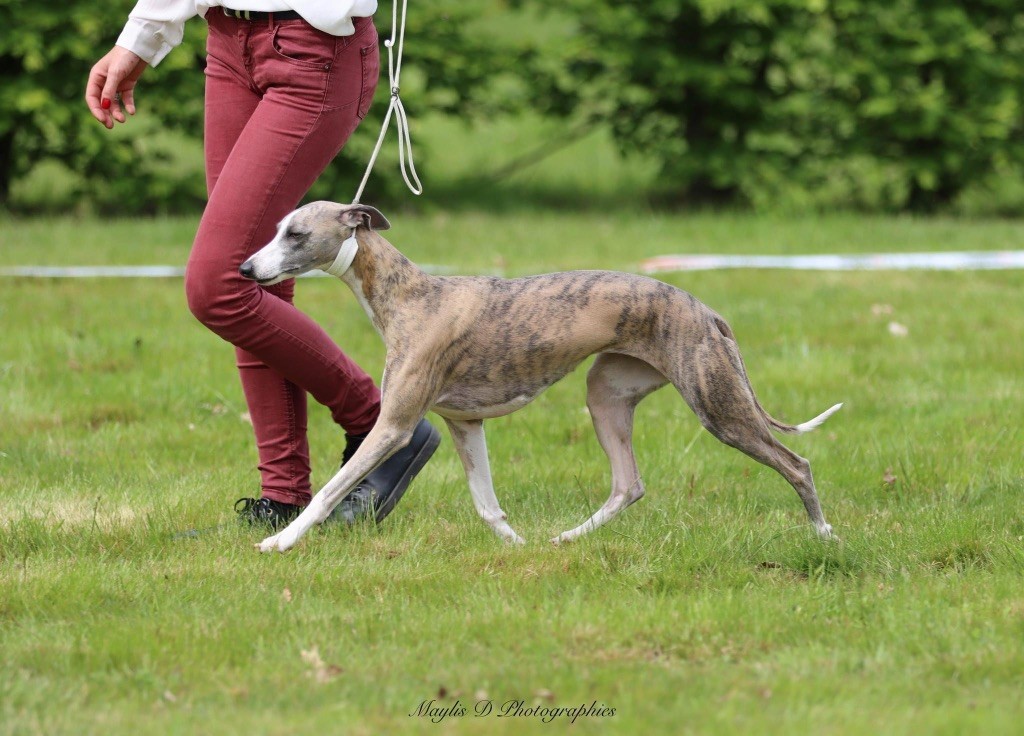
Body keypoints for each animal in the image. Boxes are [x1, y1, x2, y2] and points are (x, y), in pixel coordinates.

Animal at [239, 201, 839, 552]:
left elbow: (330, 490)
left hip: (718, 406)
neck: (410, 296)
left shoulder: (395, 426)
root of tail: (708, 312)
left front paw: (282, 541)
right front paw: (515, 545)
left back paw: (824, 535)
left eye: (296, 234)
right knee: (629, 484)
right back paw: (567, 537)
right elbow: (486, 502)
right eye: (276, 229)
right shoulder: (465, 423)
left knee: (798, 464)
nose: (245, 268)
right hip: (606, 396)